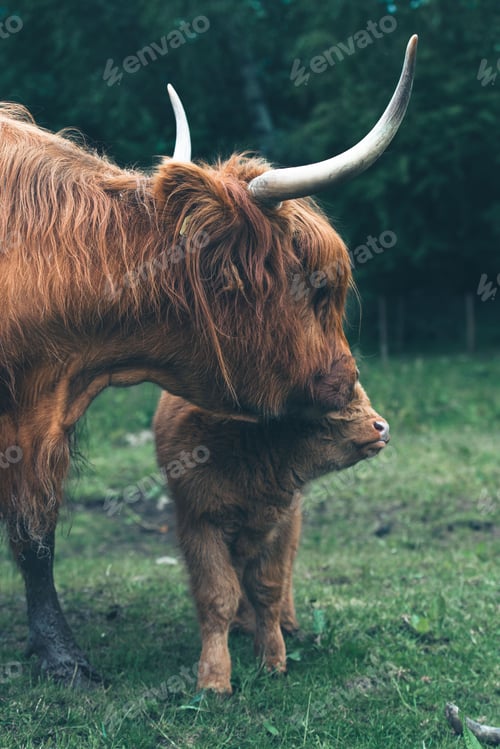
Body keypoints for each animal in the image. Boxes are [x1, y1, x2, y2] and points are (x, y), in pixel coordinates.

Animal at [154, 380, 390, 694]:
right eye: (333, 406)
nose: (382, 427)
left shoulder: (281, 524)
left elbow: (268, 587)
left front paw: (273, 661)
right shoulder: (200, 526)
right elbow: (218, 595)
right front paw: (213, 679)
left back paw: (286, 624)